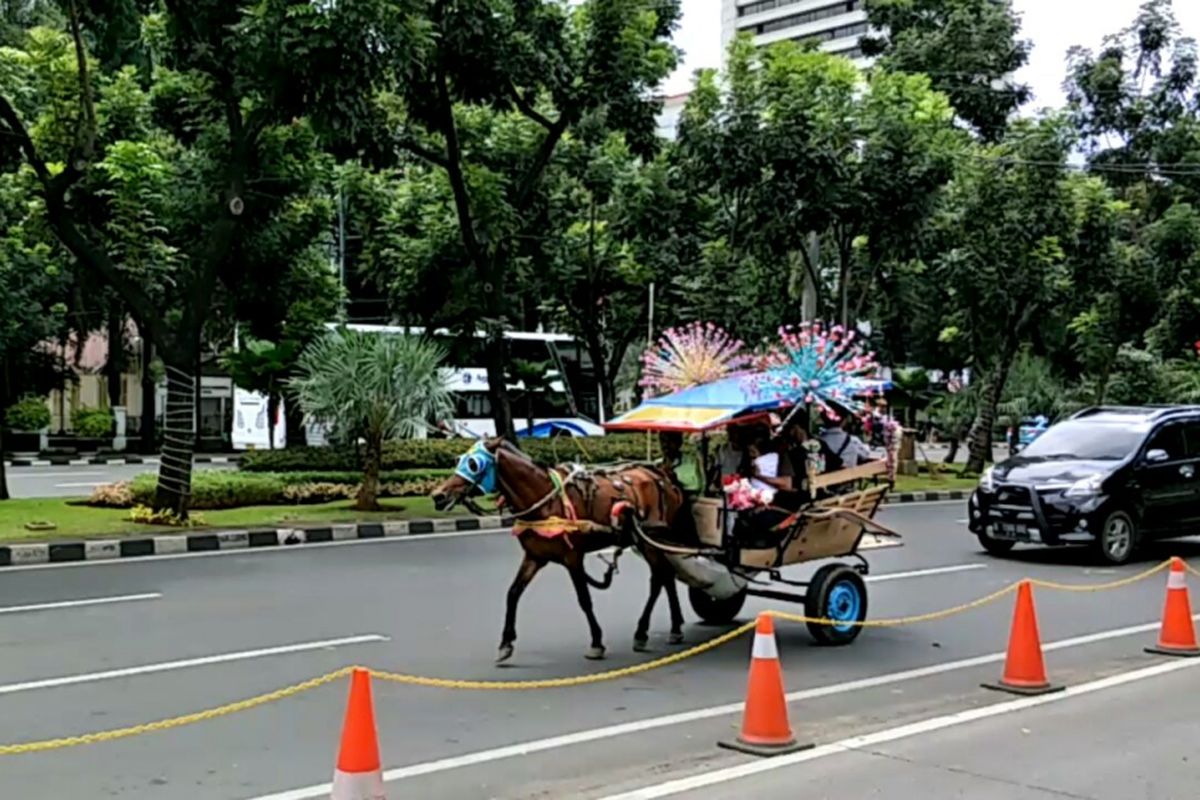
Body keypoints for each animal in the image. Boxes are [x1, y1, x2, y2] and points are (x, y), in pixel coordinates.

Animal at [434, 438, 691, 662]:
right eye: (459, 459)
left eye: (473, 464)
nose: (438, 495)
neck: (546, 502)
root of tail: (662, 475)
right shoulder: (534, 556)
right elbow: (513, 593)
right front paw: (506, 643)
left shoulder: (573, 557)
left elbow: (584, 599)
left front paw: (596, 642)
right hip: (648, 540)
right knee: (666, 576)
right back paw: (675, 627)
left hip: (650, 539)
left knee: (658, 580)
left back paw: (642, 631)